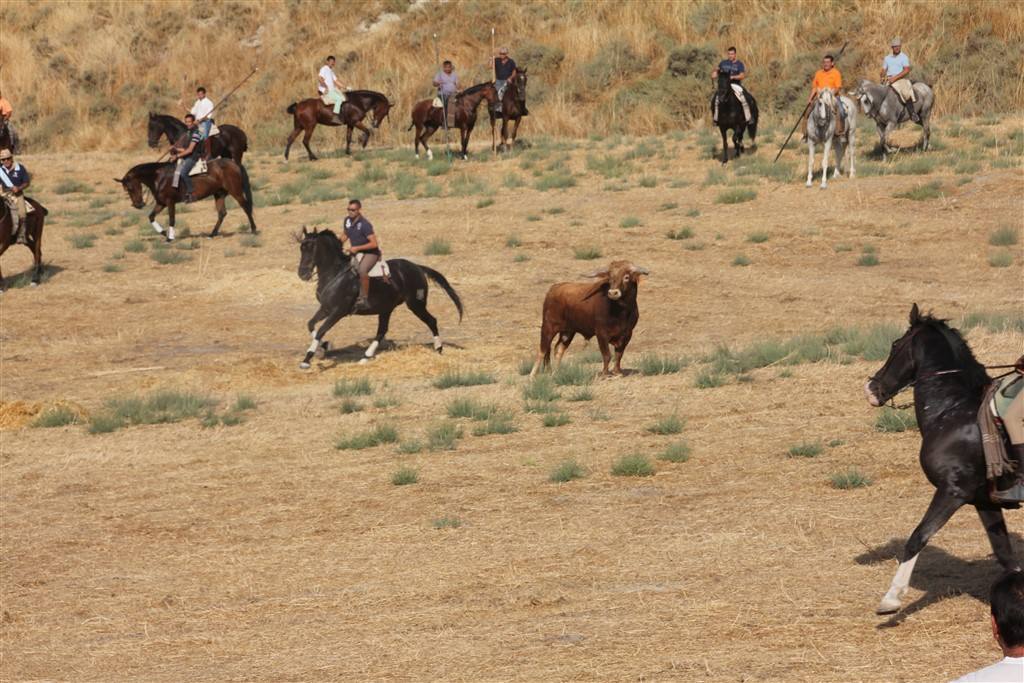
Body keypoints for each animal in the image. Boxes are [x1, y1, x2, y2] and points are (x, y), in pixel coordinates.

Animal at [115, 158, 256, 241]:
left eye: (130, 188)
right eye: (126, 189)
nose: (138, 204)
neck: (159, 177)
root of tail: (234, 163)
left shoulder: (170, 202)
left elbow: (172, 219)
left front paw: (170, 237)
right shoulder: (161, 203)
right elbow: (151, 217)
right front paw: (164, 233)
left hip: (235, 191)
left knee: (246, 207)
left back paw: (254, 230)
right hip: (219, 194)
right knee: (222, 213)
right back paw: (212, 234)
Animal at [296, 228, 464, 368]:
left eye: (311, 248)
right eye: (301, 248)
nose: (302, 274)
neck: (335, 274)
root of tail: (417, 267)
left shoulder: (338, 311)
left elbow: (321, 330)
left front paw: (307, 359)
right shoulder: (325, 308)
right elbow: (310, 324)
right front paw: (324, 346)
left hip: (416, 304)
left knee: (431, 321)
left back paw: (439, 349)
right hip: (386, 308)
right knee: (382, 331)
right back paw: (365, 357)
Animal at [864, 305, 1015, 614]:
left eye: (895, 345)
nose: (871, 388)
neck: (952, 412)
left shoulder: (952, 491)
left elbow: (918, 536)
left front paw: (891, 598)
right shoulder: (984, 501)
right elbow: (1006, 555)